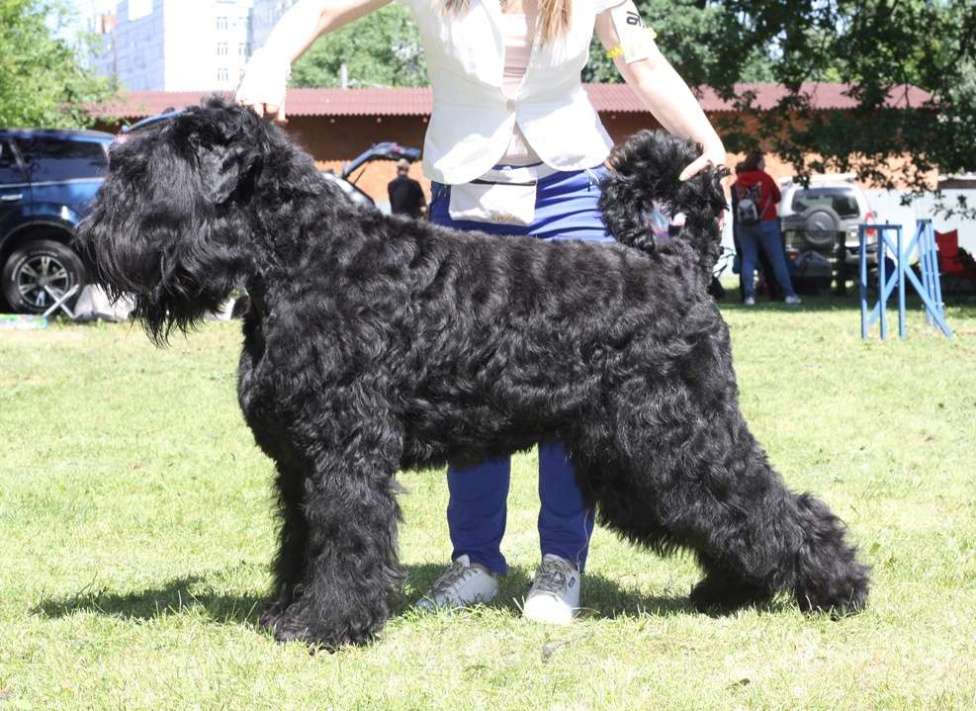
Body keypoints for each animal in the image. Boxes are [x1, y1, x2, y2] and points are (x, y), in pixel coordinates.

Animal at [78, 100, 868, 652]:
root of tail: (678, 262)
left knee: (775, 505)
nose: (87, 240)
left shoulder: (343, 454)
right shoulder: (299, 461)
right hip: (631, 457)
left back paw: (839, 587)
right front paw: (284, 610)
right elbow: (300, 541)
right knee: (726, 515)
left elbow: (344, 541)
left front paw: (325, 626)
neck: (306, 256)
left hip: (679, 438)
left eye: (139, 173)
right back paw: (731, 591)